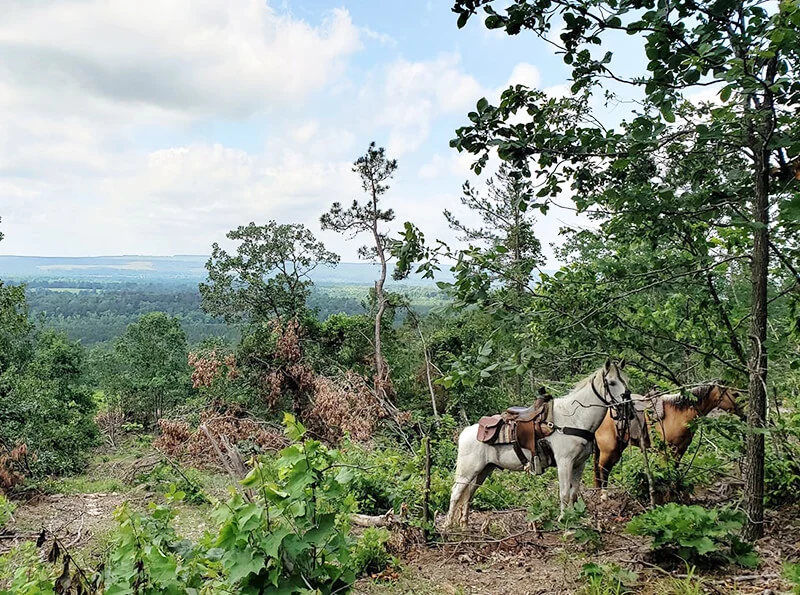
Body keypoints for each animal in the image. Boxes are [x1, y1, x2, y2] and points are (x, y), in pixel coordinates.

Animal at [444, 360, 632, 528]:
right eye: (612, 382)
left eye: (626, 380)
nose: (628, 404)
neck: (574, 419)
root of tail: (467, 432)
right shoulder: (564, 462)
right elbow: (564, 492)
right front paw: (563, 519)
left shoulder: (579, 464)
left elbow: (573, 493)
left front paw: (574, 518)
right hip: (467, 471)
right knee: (455, 493)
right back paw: (448, 526)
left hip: (483, 470)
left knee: (469, 493)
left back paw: (464, 525)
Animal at [592, 384, 744, 496]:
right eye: (735, 394)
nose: (744, 414)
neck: (679, 414)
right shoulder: (664, 450)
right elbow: (665, 470)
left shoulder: (680, 449)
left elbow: (674, 469)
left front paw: (675, 489)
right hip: (609, 449)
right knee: (603, 468)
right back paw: (604, 494)